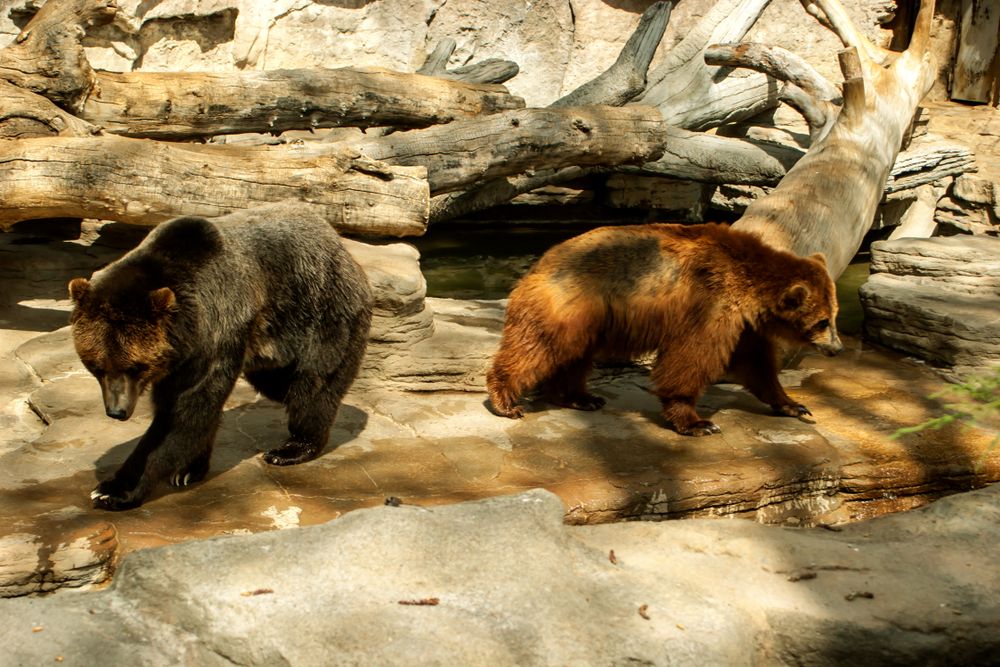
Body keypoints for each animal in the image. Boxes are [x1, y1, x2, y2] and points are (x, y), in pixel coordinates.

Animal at [68, 206, 373, 510]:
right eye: (96, 366)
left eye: (135, 367)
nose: (117, 411)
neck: (187, 331)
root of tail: (341, 246)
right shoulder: (183, 354)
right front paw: (187, 470)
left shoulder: (215, 334)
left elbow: (183, 412)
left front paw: (113, 490)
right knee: (280, 384)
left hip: (324, 310)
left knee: (313, 386)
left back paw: (291, 448)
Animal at [485, 222, 843, 436]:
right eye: (823, 321)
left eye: (834, 315)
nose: (837, 348)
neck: (749, 286)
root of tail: (540, 260)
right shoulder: (710, 302)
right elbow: (691, 357)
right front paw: (698, 422)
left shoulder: (744, 326)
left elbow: (757, 365)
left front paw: (794, 405)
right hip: (568, 303)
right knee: (538, 346)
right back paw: (506, 401)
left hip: (587, 319)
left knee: (573, 357)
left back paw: (581, 397)